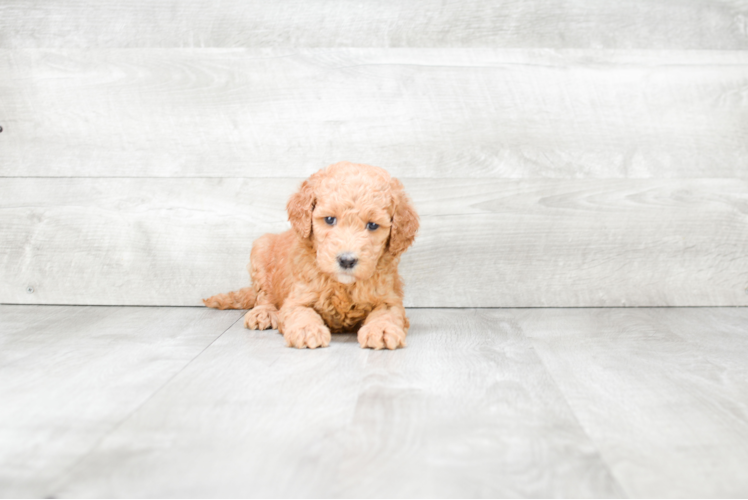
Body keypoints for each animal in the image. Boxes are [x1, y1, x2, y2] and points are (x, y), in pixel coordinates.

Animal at [202, 162, 418, 350]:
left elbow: (387, 313)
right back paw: (264, 313)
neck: (343, 286)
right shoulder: (297, 298)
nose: (346, 260)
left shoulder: (389, 297)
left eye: (372, 225)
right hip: (260, 249)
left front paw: (382, 329)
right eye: (329, 219)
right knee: (263, 296)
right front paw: (307, 330)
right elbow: (301, 312)